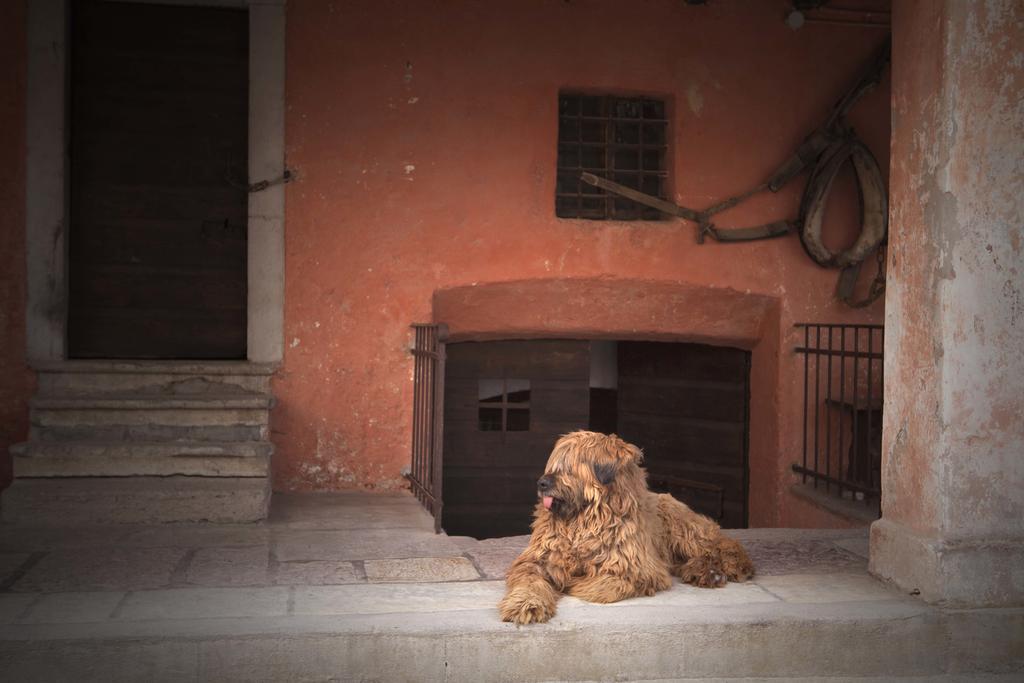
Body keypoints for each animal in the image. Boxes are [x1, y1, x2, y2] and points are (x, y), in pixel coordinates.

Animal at [495, 432, 753, 626]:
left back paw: (729, 566)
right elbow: (529, 580)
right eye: (554, 466)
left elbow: (608, 584)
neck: (583, 521)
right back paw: (704, 572)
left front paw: (574, 584)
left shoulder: (638, 567)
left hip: (680, 525)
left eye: (569, 468)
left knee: (720, 543)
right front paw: (526, 604)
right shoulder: (537, 560)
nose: (541, 483)